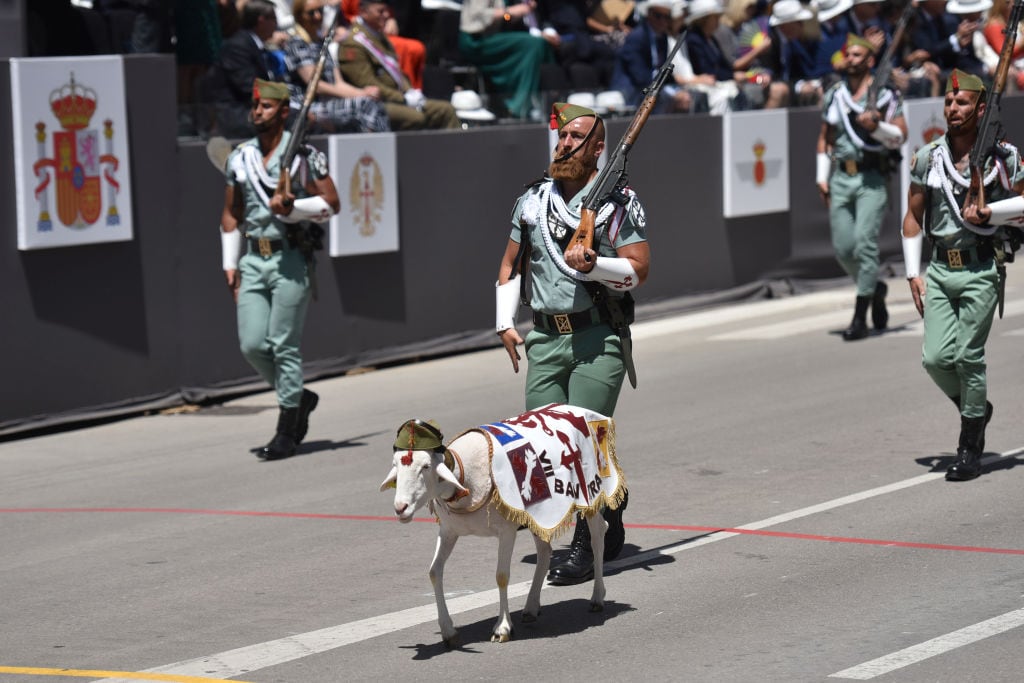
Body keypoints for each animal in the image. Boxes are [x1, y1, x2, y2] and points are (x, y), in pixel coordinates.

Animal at [382, 417, 606, 647]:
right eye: (395, 466)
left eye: (426, 466)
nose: (400, 508)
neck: (463, 480)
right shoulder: (448, 531)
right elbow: (434, 572)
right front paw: (448, 630)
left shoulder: (506, 531)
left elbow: (502, 576)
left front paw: (502, 628)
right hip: (539, 514)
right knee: (545, 552)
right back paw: (531, 607)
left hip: (591, 494)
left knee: (598, 534)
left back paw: (597, 597)